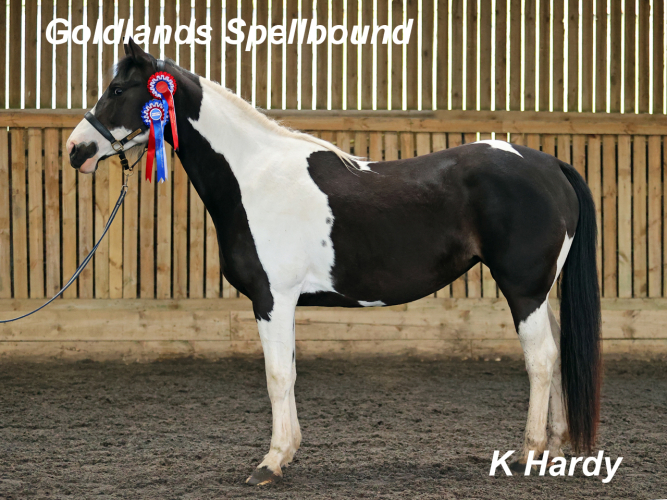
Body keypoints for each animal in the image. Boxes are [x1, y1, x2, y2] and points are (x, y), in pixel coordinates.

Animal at [67, 39, 601, 485]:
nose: (76, 150)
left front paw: (270, 463)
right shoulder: (283, 304)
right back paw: (553, 450)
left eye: (117, 88)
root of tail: (550, 164)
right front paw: (287, 453)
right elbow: (288, 373)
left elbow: (277, 377)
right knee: (555, 355)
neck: (252, 177)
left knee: (541, 359)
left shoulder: (272, 299)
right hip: (539, 291)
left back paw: (529, 453)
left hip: (523, 289)